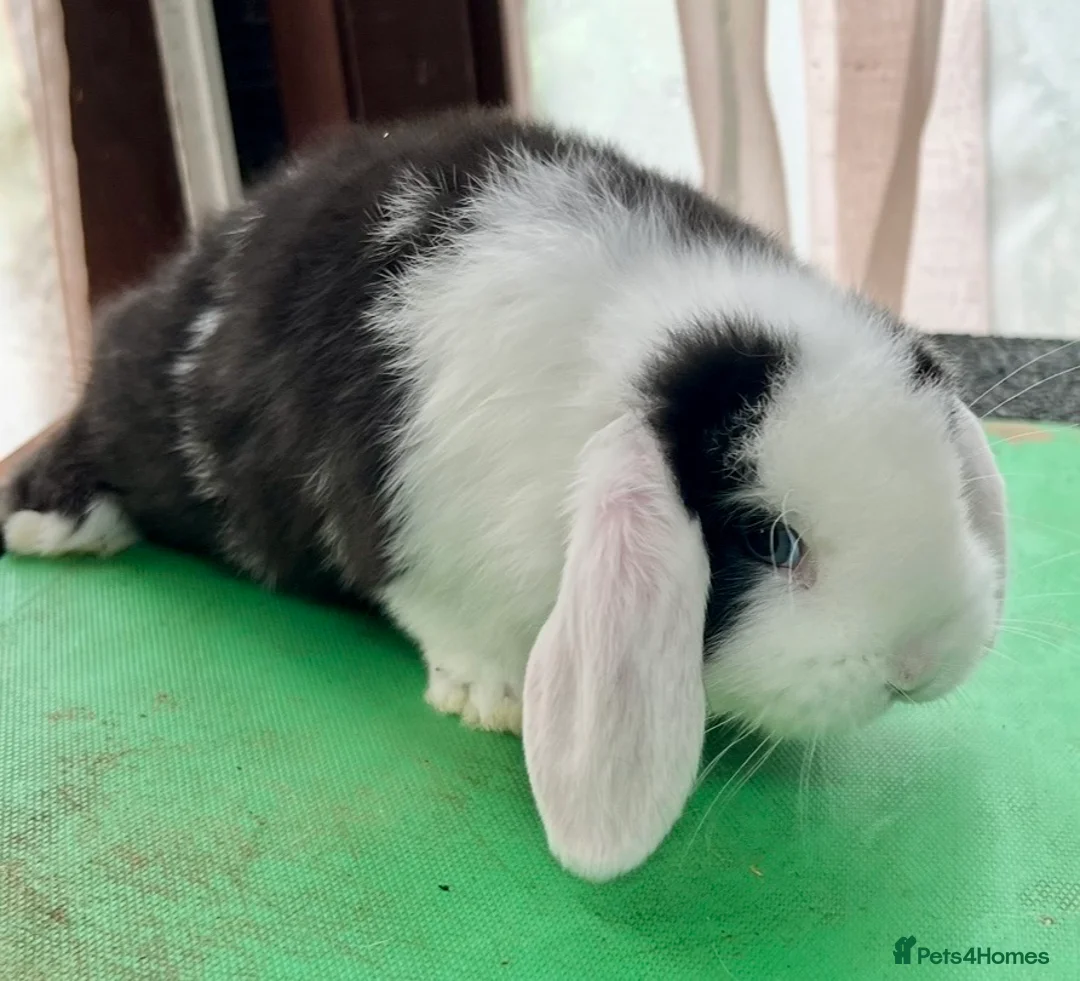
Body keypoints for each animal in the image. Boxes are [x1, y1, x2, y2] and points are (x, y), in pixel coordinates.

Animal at [1, 109, 1007, 881]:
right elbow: (433, 610)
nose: (918, 661)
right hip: (140, 413)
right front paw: (490, 697)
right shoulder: (420, 540)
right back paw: (52, 520)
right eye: (769, 540)